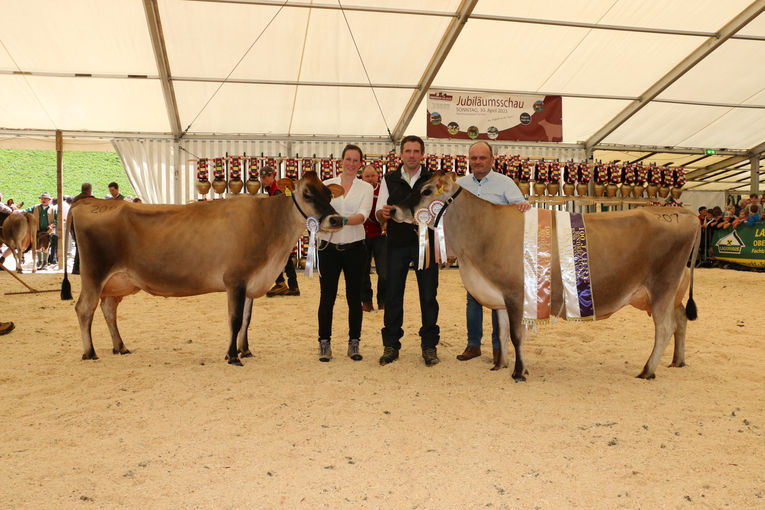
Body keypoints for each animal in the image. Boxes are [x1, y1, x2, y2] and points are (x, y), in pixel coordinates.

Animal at [62, 173, 344, 364]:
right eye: (307, 194)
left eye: (329, 195)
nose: (335, 219)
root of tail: (87, 203)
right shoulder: (235, 279)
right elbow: (234, 319)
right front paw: (232, 356)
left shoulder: (252, 281)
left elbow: (247, 320)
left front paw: (245, 350)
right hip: (94, 273)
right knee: (84, 309)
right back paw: (90, 352)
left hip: (117, 280)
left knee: (108, 309)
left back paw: (120, 346)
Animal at [394, 173, 700, 380]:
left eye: (426, 190)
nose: (394, 210)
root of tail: (684, 213)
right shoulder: (500, 297)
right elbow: (502, 334)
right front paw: (499, 365)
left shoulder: (516, 294)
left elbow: (516, 335)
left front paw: (519, 371)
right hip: (671, 292)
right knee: (681, 320)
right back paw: (678, 361)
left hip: (662, 286)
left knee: (665, 328)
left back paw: (647, 370)